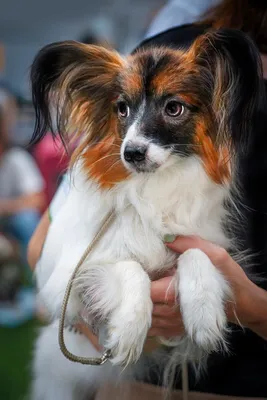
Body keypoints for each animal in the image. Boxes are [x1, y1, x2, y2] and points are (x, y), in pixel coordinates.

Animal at [30, 28, 266, 400]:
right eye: (122, 109)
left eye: (174, 108)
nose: (132, 153)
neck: (153, 186)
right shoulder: (65, 281)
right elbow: (129, 267)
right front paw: (129, 329)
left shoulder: (205, 243)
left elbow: (197, 253)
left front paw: (203, 311)